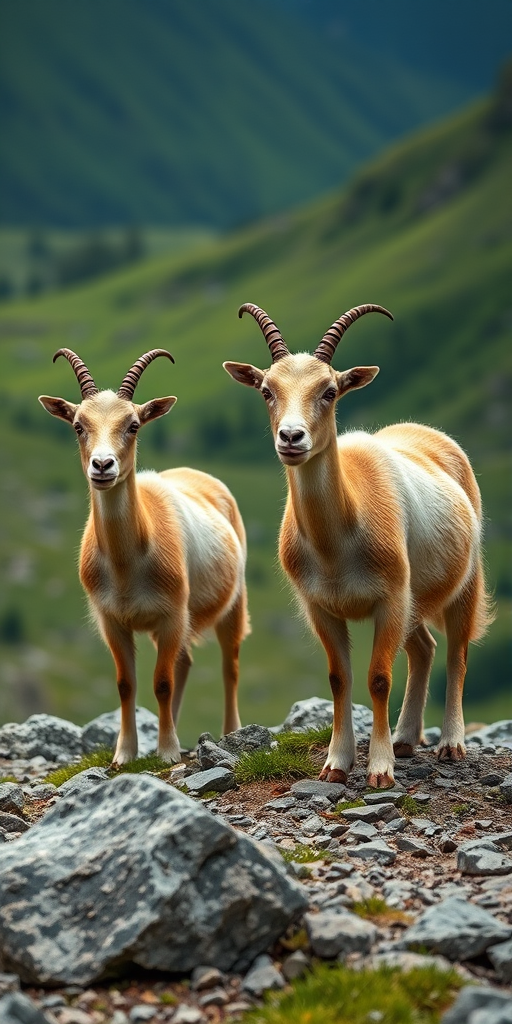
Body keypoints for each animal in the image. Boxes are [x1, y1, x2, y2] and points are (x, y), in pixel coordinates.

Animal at [39, 348, 249, 765]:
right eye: (78, 425)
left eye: (133, 425)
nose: (102, 465)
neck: (127, 566)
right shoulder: (112, 620)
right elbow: (127, 684)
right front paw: (125, 753)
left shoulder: (171, 614)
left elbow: (161, 682)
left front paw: (167, 753)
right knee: (185, 662)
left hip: (233, 600)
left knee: (228, 664)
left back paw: (230, 732)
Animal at [224, 303, 493, 788]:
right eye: (267, 390)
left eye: (330, 391)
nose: (291, 438)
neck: (337, 546)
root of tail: (426, 433)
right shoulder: (320, 606)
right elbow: (339, 678)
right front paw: (337, 763)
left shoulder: (389, 598)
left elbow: (378, 678)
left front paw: (380, 769)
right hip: (414, 602)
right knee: (424, 648)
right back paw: (405, 739)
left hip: (463, 580)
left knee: (458, 652)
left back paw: (450, 744)